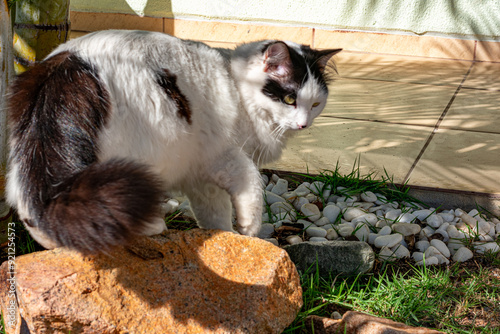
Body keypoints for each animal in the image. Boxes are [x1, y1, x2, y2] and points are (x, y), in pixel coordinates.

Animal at [5, 30, 342, 254]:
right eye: (289, 99)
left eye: (315, 104)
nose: (304, 123)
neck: (236, 85)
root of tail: (71, 66)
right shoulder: (224, 156)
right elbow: (252, 187)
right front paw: (248, 231)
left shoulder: (201, 178)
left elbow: (215, 215)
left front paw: (226, 238)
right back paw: (150, 227)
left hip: (29, 155)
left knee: (35, 206)